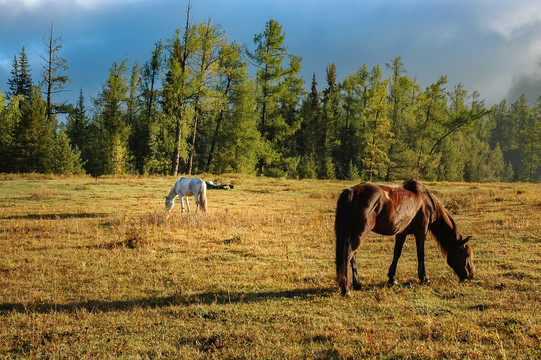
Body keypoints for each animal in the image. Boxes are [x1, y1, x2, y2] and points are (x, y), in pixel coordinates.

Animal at [334, 179, 472, 296]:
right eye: (467, 256)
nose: (470, 277)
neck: (425, 201)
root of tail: (351, 192)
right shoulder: (421, 232)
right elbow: (421, 254)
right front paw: (424, 278)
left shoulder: (401, 233)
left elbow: (397, 254)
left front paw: (392, 279)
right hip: (359, 234)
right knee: (348, 255)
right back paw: (346, 289)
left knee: (352, 256)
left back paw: (357, 284)